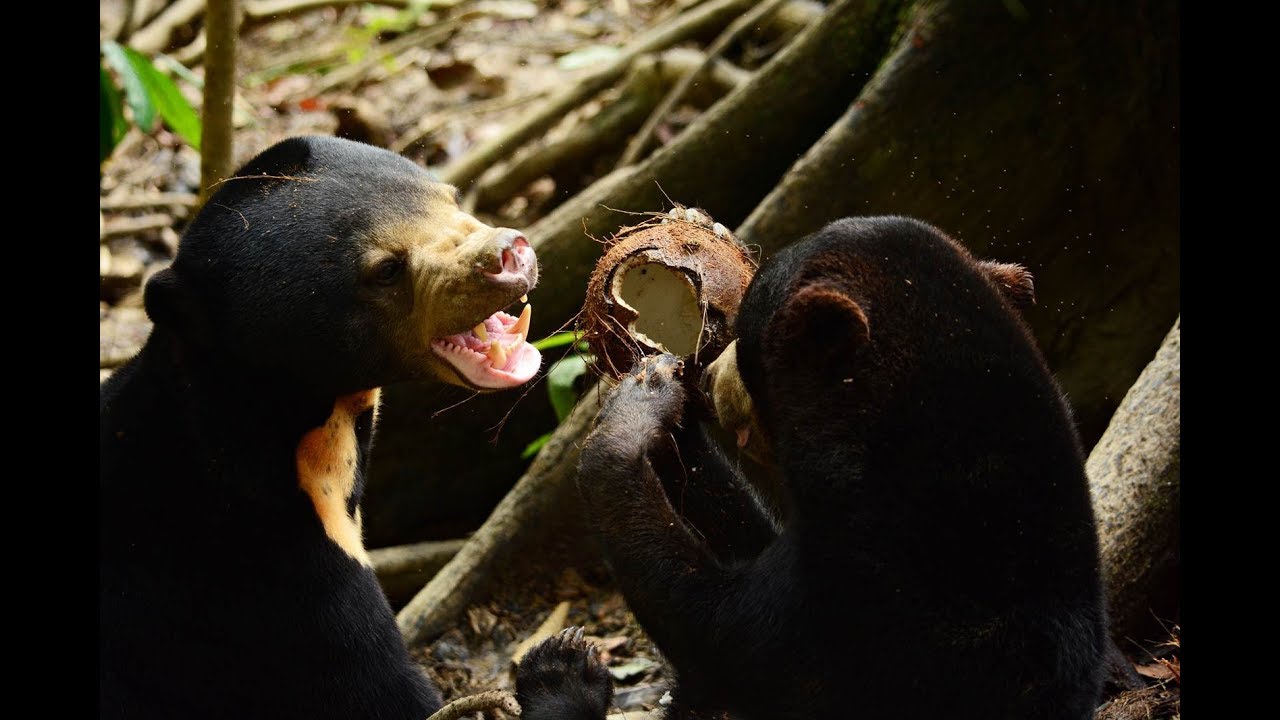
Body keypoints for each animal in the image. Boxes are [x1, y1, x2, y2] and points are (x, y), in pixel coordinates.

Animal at [99, 136, 613, 719]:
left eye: (451, 197)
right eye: (386, 269)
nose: (510, 254)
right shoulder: (275, 586)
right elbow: (383, 695)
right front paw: (564, 666)